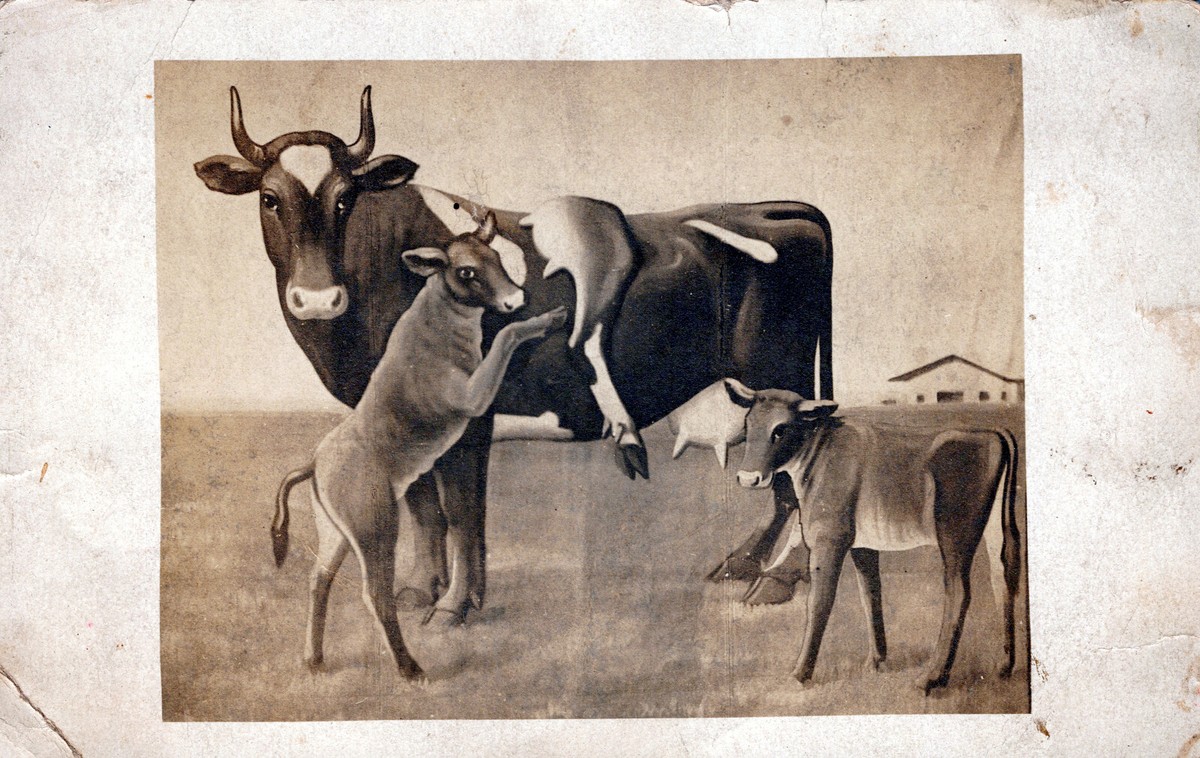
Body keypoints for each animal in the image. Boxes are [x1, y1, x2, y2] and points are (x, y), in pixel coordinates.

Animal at [194, 86, 834, 623]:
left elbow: (461, 514)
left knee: (792, 476)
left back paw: (777, 578)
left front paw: (453, 606)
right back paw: (743, 564)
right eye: (270, 198)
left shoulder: (470, 425)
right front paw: (421, 590)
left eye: (347, 199)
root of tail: (775, 207)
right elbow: (425, 507)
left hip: (780, 375)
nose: (317, 298)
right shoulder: (402, 420)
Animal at [271, 212, 568, 680]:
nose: (515, 299)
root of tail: (315, 464)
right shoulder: (473, 400)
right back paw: (412, 670)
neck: (435, 329)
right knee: (374, 593)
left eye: (496, 257)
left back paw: (314, 661)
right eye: (466, 271)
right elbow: (506, 337)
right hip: (374, 529)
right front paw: (550, 318)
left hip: (335, 532)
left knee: (319, 580)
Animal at [725, 379, 1021, 694]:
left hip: (955, 534)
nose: (748, 477)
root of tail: (990, 432)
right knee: (1003, 578)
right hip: (993, 529)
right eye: (748, 422)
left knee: (959, 591)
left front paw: (800, 674)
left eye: (780, 428)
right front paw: (875, 663)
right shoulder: (862, 545)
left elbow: (819, 602)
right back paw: (1003, 666)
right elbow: (870, 594)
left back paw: (931, 677)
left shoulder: (829, 540)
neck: (818, 455)